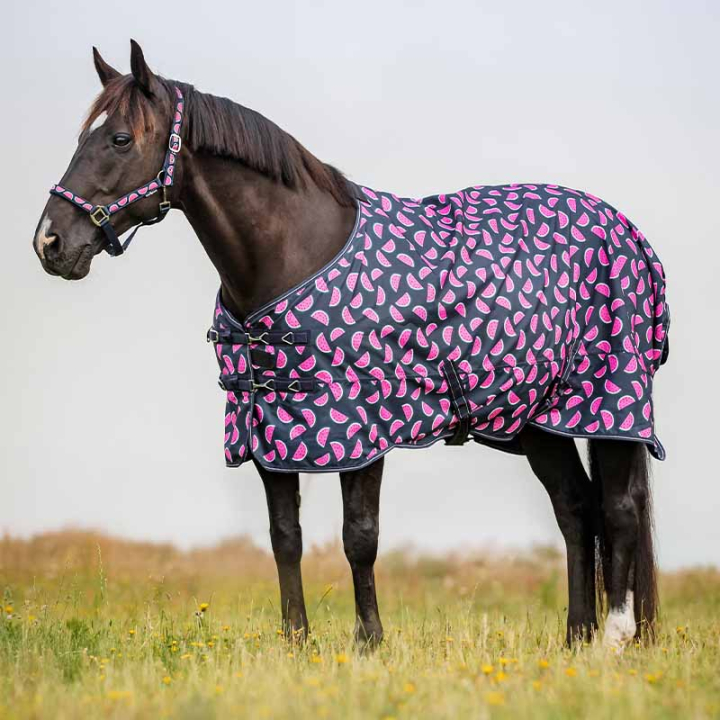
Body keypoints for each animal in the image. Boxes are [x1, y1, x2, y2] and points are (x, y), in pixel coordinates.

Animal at [33, 40, 668, 650]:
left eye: (119, 139)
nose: (50, 242)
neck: (293, 252)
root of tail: (627, 234)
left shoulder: (360, 426)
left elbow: (359, 537)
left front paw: (368, 641)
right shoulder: (267, 425)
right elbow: (284, 537)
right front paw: (296, 642)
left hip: (610, 404)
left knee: (618, 511)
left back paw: (614, 639)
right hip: (541, 420)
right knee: (576, 510)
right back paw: (576, 638)